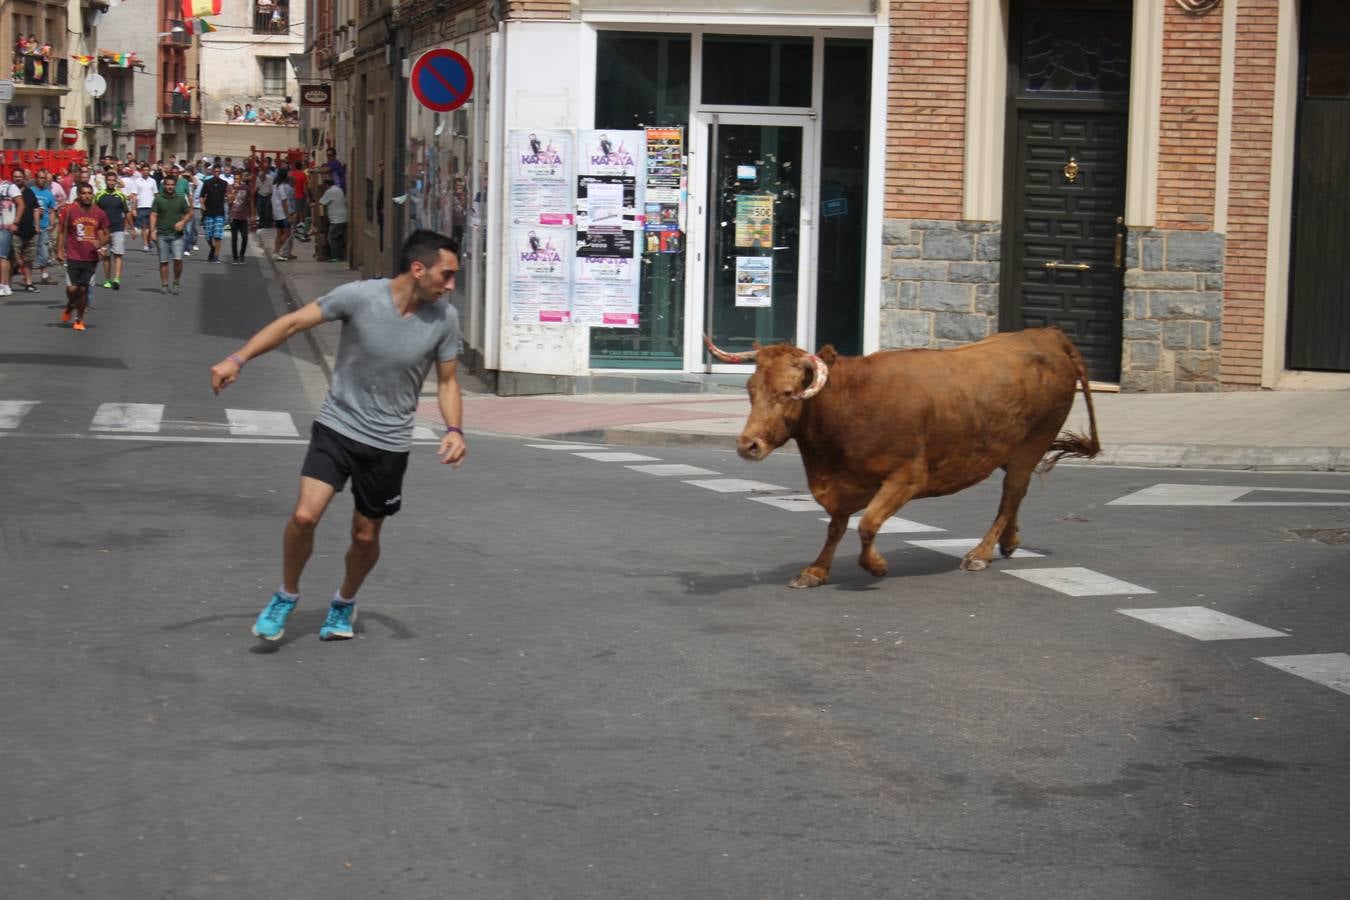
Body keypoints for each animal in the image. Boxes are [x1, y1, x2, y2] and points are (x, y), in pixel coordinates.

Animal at [707, 327, 1096, 588]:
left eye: (788, 392)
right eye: (750, 390)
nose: (748, 445)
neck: (851, 403)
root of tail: (1047, 334)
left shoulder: (906, 477)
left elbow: (867, 524)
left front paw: (875, 566)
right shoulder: (843, 484)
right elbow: (836, 527)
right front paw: (816, 571)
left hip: (1031, 446)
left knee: (1011, 494)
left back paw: (981, 554)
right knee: (1014, 498)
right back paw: (1009, 541)